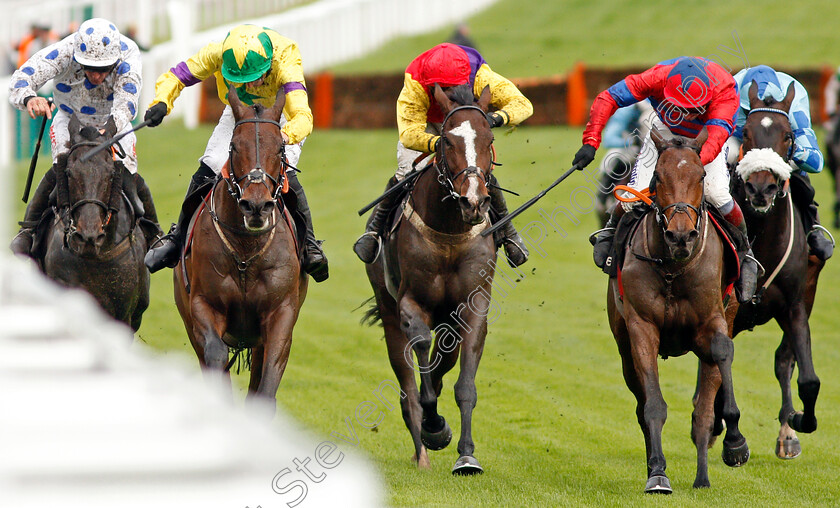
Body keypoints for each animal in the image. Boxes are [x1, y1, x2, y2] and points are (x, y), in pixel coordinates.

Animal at [175, 87, 308, 404]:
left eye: (280, 148)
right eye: (234, 146)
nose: (256, 205)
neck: (246, 250)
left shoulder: (282, 313)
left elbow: (268, 377)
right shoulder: (202, 305)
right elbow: (215, 353)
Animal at [364, 84, 496, 476]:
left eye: (489, 139)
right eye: (447, 142)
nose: (473, 201)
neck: (450, 231)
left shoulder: (473, 306)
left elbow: (464, 382)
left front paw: (467, 456)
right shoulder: (411, 302)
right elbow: (421, 351)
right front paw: (434, 427)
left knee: (444, 358)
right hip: (388, 309)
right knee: (408, 380)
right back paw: (421, 447)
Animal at [608, 129, 752, 494]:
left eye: (700, 176)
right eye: (658, 177)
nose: (681, 235)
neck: (674, 268)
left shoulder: (714, 321)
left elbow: (714, 377)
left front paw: (732, 445)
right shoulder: (641, 328)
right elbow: (653, 405)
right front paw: (658, 473)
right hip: (623, 347)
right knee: (640, 400)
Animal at [724, 81, 824, 458]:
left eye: (788, 135)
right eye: (747, 134)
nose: (761, 188)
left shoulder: (796, 305)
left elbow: (807, 378)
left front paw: (798, 421)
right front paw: (729, 437)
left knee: (784, 359)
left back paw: (787, 431)